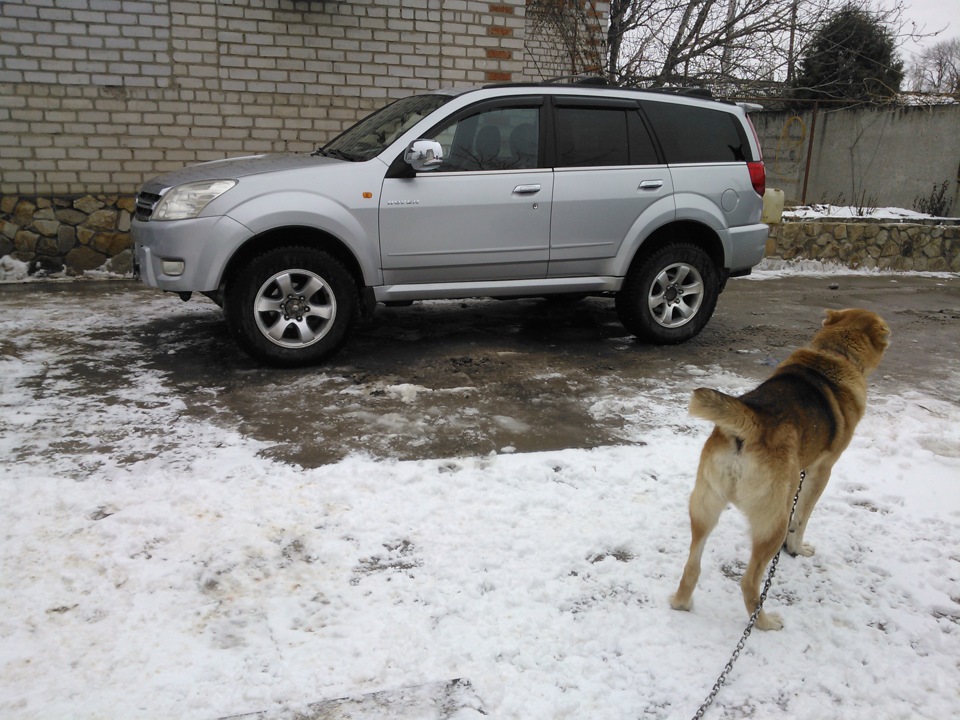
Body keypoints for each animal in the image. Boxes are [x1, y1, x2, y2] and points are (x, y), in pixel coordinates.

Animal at [672, 310, 888, 632]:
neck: (836, 353)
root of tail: (750, 421)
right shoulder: (820, 471)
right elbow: (802, 519)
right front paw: (796, 549)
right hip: (774, 520)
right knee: (749, 582)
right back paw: (764, 622)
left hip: (704, 509)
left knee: (692, 565)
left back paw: (681, 603)